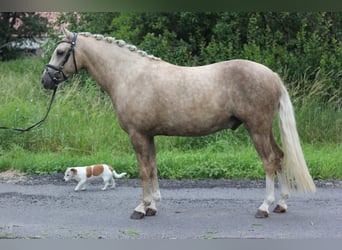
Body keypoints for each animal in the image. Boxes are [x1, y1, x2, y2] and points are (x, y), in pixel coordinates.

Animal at [42, 26, 316, 219]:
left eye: (60, 52)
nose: (45, 80)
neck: (129, 75)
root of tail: (271, 75)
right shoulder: (148, 135)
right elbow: (152, 167)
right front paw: (153, 205)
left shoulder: (137, 135)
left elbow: (143, 170)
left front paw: (141, 208)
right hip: (264, 129)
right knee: (279, 157)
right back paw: (281, 204)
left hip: (257, 128)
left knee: (269, 161)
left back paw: (265, 206)